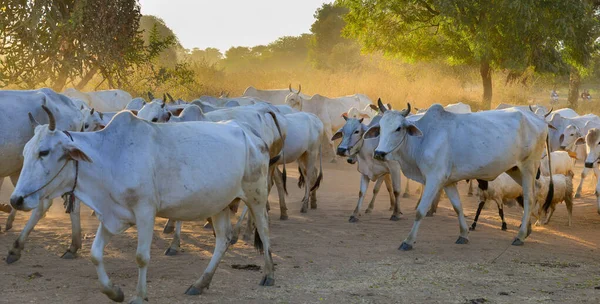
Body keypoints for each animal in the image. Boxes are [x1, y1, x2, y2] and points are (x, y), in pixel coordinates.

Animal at [11, 109, 278, 302]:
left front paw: (139, 296)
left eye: (44, 152)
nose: (16, 199)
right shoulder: (113, 215)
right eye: (25, 152)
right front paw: (114, 292)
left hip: (255, 194)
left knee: (264, 231)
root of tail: (250, 133)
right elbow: (95, 254)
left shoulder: (145, 212)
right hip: (219, 204)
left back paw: (268, 274)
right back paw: (200, 283)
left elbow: (141, 257)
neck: (110, 156)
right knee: (222, 240)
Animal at [368, 100, 556, 249]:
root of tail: (541, 121)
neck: (424, 138)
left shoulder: (434, 179)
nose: (379, 153)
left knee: (529, 197)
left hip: (529, 166)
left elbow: (420, 211)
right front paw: (463, 235)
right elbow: (458, 207)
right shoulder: (448, 182)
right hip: (515, 169)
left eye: (398, 128)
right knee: (535, 189)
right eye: (381, 128)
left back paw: (520, 235)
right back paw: (528, 229)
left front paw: (408, 241)